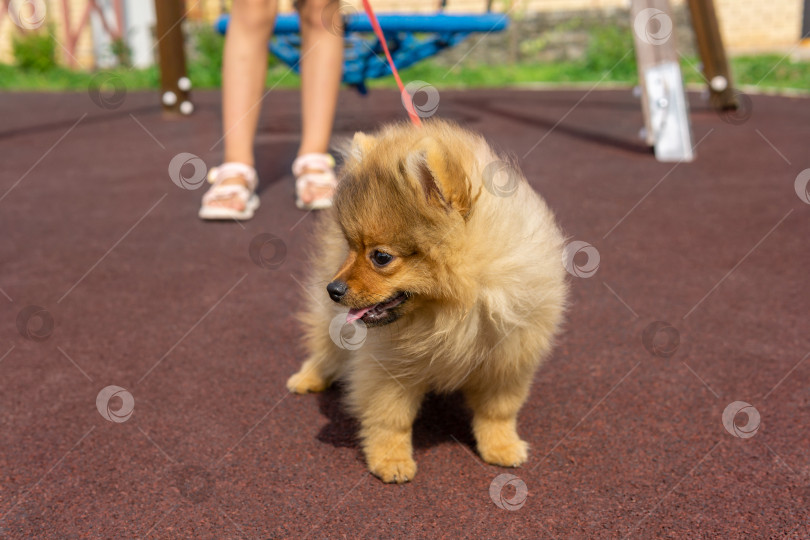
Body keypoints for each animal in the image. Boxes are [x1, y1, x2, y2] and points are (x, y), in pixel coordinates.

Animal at [288, 120, 564, 484]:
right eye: (350, 246)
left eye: (380, 257)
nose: (333, 289)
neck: (453, 311)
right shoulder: (388, 368)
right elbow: (391, 418)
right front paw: (390, 459)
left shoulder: (507, 359)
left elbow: (497, 411)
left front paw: (501, 446)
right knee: (325, 348)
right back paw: (308, 378)